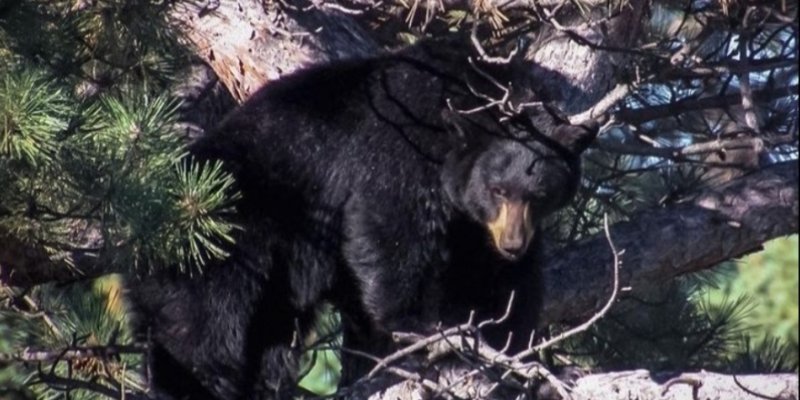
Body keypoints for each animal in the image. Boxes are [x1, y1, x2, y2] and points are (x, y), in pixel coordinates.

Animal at [127, 36, 598, 400]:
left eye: (539, 195)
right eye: (497, 189)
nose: (512, 244)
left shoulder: (476, 227)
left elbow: (499, 282)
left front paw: (526, 357)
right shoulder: (401, 141)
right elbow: (389, 224)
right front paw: (414, 327)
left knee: (270, 334)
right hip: (226, 235)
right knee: (203, 325)